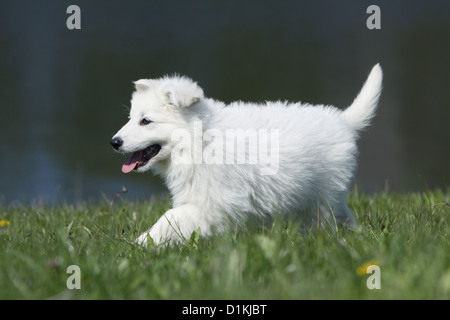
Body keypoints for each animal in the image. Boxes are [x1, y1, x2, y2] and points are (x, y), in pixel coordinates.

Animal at [110, 63, 382, 246]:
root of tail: (343, 121)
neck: (201, 139)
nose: (114, 142)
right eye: (131, 118)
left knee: (325, 219)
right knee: (343, 216)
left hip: (322, 194)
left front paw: (141, 242)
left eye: (146, 121)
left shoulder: (215, 202)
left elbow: (171, 217)